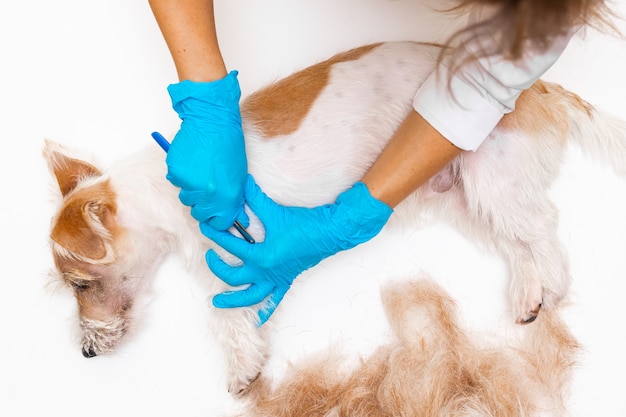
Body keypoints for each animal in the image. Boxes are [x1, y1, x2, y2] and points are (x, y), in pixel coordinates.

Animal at [44, 41, 624, 394]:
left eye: (79, 284)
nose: (85, 355)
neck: (165, 193)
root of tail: (536, 86)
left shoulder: (236, 254)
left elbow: (225, 314)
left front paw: (242, 371)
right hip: (467, 197)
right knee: (520, 243)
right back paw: (528, 296)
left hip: (494, 183)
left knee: (544, 230)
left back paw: (550, 288)